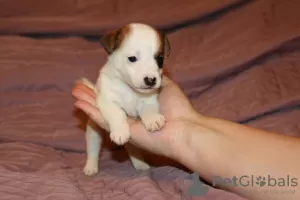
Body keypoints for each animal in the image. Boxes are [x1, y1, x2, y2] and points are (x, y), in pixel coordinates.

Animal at [78, 22, 170, 175]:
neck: (129, 89)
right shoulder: (108, 101)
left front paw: (152, 119)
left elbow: (149, 108)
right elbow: (117, 114)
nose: (151, 80)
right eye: (132, 58)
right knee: (93, 149)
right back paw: (91, 167)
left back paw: (140, 164)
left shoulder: (149, 99)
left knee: (133, 149)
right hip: (93, 132)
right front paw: (120, 131)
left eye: (160, 59)